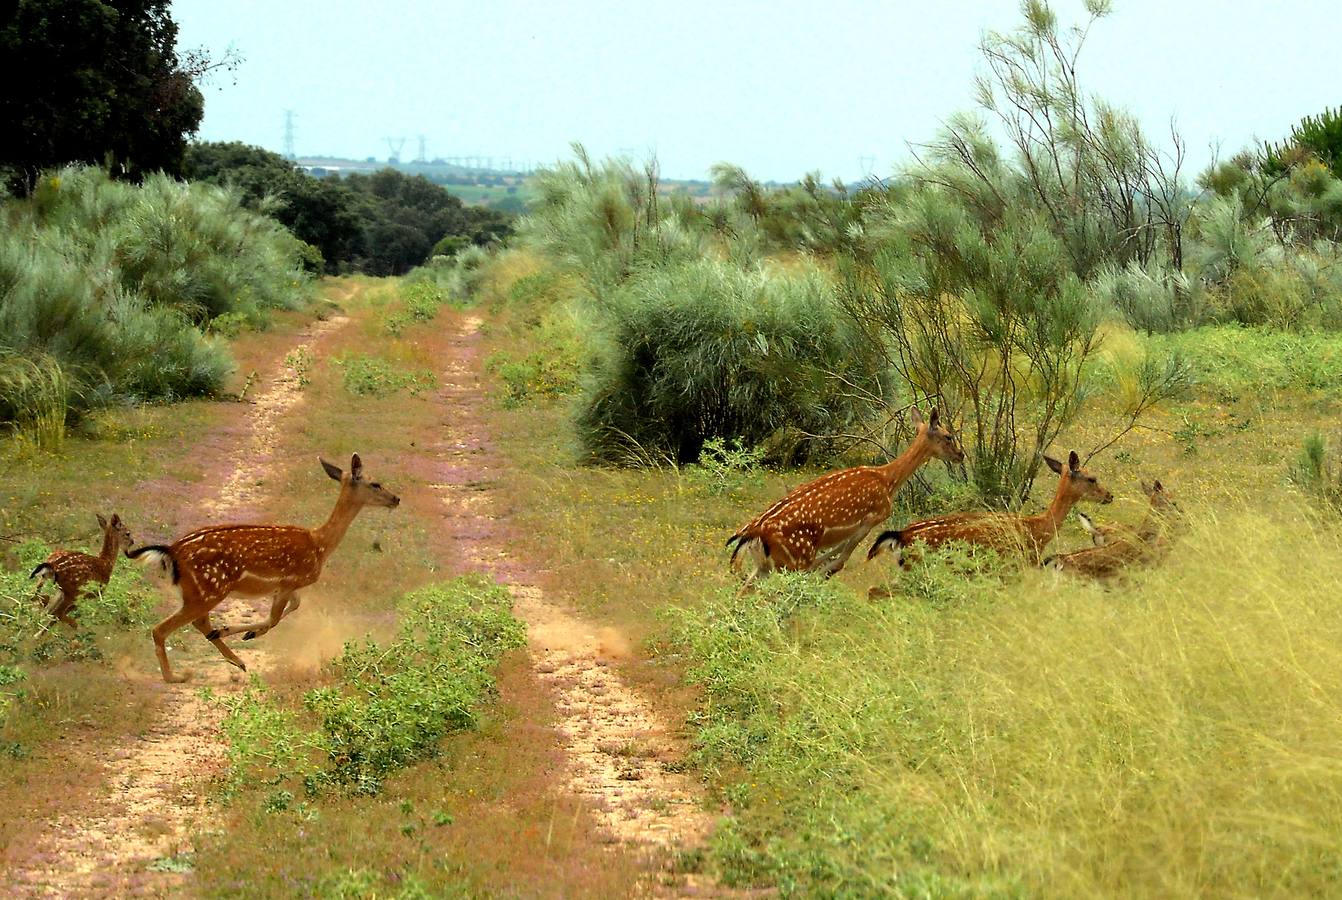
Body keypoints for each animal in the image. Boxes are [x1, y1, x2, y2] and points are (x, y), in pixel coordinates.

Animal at [125, 458, 397, 684]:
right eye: (375, 483)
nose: (396, 499)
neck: (319, 545)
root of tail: (172, 551)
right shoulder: (289, 580)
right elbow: (275, 618)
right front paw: (245, 632)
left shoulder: (289, 585)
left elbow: (292, 608)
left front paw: (247, 633)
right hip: (208, 589)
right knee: (162, 629)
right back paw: (176, 675)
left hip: (198, 591)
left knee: (198, 623)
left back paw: (235, 659)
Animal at [724, 405, 966, 587]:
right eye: (948, 436)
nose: (960, 455)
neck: (888, 480)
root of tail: (752, 534)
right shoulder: (872, 517)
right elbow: (840, 559)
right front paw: (821, 574)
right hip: (793, 558)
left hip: (764, 565)